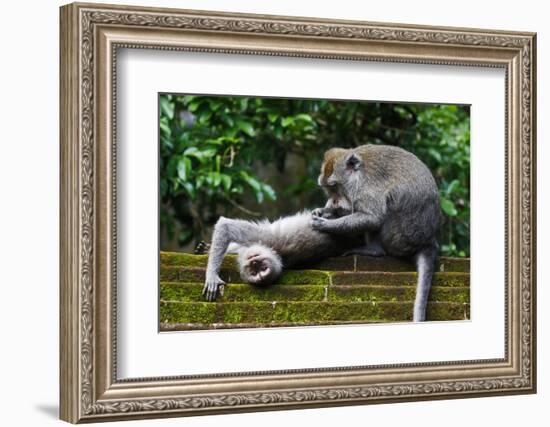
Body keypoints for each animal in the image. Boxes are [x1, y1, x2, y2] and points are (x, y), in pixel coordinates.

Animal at [203, 210, 362, 302]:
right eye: (254, 271)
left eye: (262, 268)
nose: (254, 262)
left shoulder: (269, 239)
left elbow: (225, 226)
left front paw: (211, 276)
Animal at [312, 145, 442, 322]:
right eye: (327, 189)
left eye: (334, 186)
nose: (333, 201)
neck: (357, 175)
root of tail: (427, 241)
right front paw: (323, 211)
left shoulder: (366, 188)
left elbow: (373, 218)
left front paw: (326, 224)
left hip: (399, 237)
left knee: (387, 206)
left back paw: (373, 250)